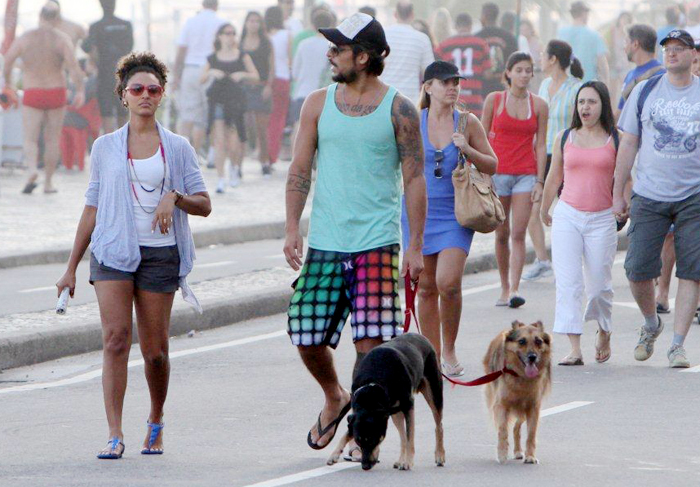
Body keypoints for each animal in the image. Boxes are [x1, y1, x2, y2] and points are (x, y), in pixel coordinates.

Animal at [326, 334, 446, 470]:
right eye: (358, 441)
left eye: (373, 440)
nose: (365, 466)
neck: (373, 385)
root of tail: (421, 336)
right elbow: (346, 433)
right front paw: (334, 454)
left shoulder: (408, 405)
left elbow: (410, 435)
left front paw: (409, 461)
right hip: (395, 413)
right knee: (402, 435)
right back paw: (400, 460)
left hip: (434, 392)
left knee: (438, 425)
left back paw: (439, 456)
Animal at [482, 320, 552, 466]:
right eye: (521, 341)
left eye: (538, 341)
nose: (532, 357)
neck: (521, 376)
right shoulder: (501, 405)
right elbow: (502, 430)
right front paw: (502, 454)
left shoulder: (533, 407)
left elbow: (531, 434)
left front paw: (530, 456)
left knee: (516, 428)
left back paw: (519, 451)